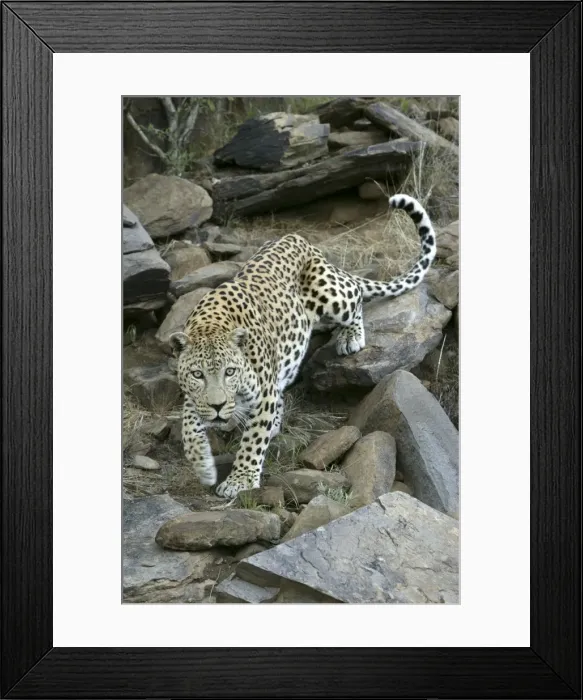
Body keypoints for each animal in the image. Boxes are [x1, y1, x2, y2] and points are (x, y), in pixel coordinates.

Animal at [170, 194, 437, 499]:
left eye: (230, 372)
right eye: (197, 375)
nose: (217, 406)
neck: (210, 325)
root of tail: (298, 239)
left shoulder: (263, 393)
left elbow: (252, 440)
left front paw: (240, 480)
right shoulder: (195, 397)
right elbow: (189, 426)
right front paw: (203, 465)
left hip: (331, 293)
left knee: (356, 293)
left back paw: (350, 337)